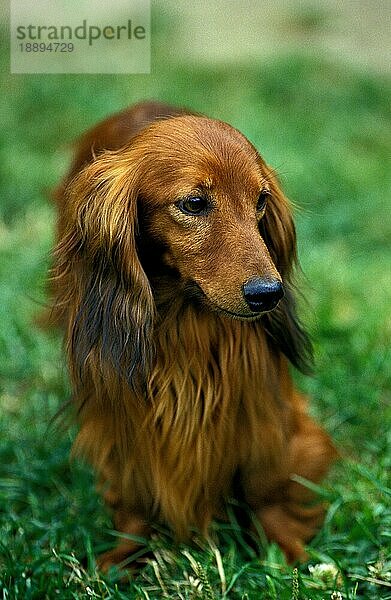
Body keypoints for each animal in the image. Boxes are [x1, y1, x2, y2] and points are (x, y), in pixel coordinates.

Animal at [50, 101, 336, 568]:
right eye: (195, 203)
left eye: (261, 200)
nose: (269, 295)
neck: (185, 319)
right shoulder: (117, 403)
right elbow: (133, 491)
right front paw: (124, 556)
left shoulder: (260, 400)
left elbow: (266, 487)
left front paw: (289, 553)